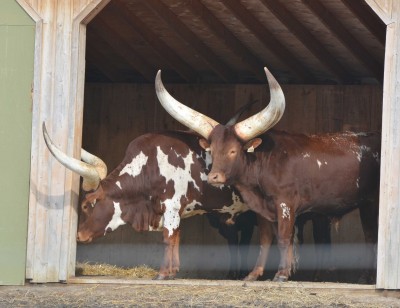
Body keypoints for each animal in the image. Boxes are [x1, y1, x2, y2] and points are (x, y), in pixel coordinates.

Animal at [155, 66, 380, 282]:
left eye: (233, 151)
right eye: (212, 150)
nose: (214, 177)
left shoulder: (285, 205)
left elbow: (283, 238)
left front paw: (281, 274)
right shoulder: (262, 210)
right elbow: (265, 240)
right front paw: (255, 273)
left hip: (368, 204)